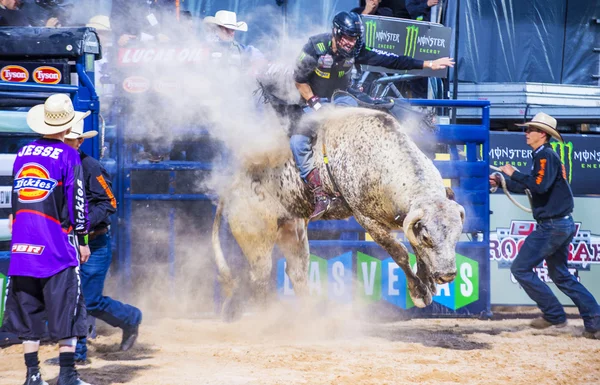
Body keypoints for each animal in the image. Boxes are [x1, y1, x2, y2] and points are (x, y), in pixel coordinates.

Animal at [213, 106, 466, 320]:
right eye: (427, 237)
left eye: (456, 236)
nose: (447, 275)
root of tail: (232, 184)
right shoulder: (365, 218)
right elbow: (400, 252)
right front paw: (419, 292)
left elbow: (415, 249)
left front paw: (427, 282)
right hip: (256, 235)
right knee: (260, 276)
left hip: (293, 230)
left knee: (297, 272)